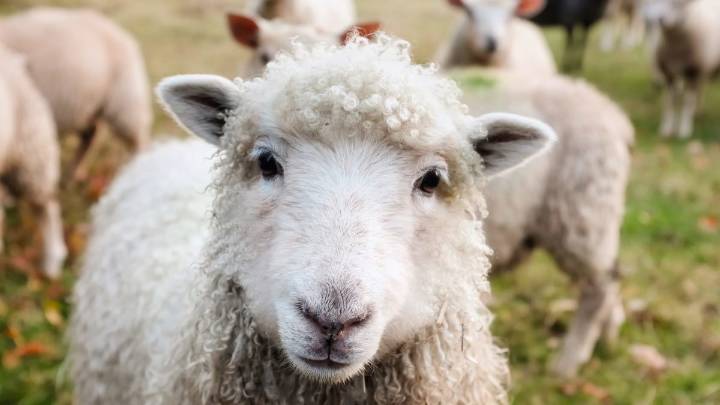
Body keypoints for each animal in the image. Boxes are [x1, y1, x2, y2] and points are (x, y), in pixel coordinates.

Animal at [643, 0, 720, 139]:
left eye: (676, 3)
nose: (659, 20)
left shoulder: (693, 72)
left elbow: (687, 102)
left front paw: (684, 130)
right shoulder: (669, 74)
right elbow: (669, 102)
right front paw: (667, 129)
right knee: (701, 88)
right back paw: (698, 112)